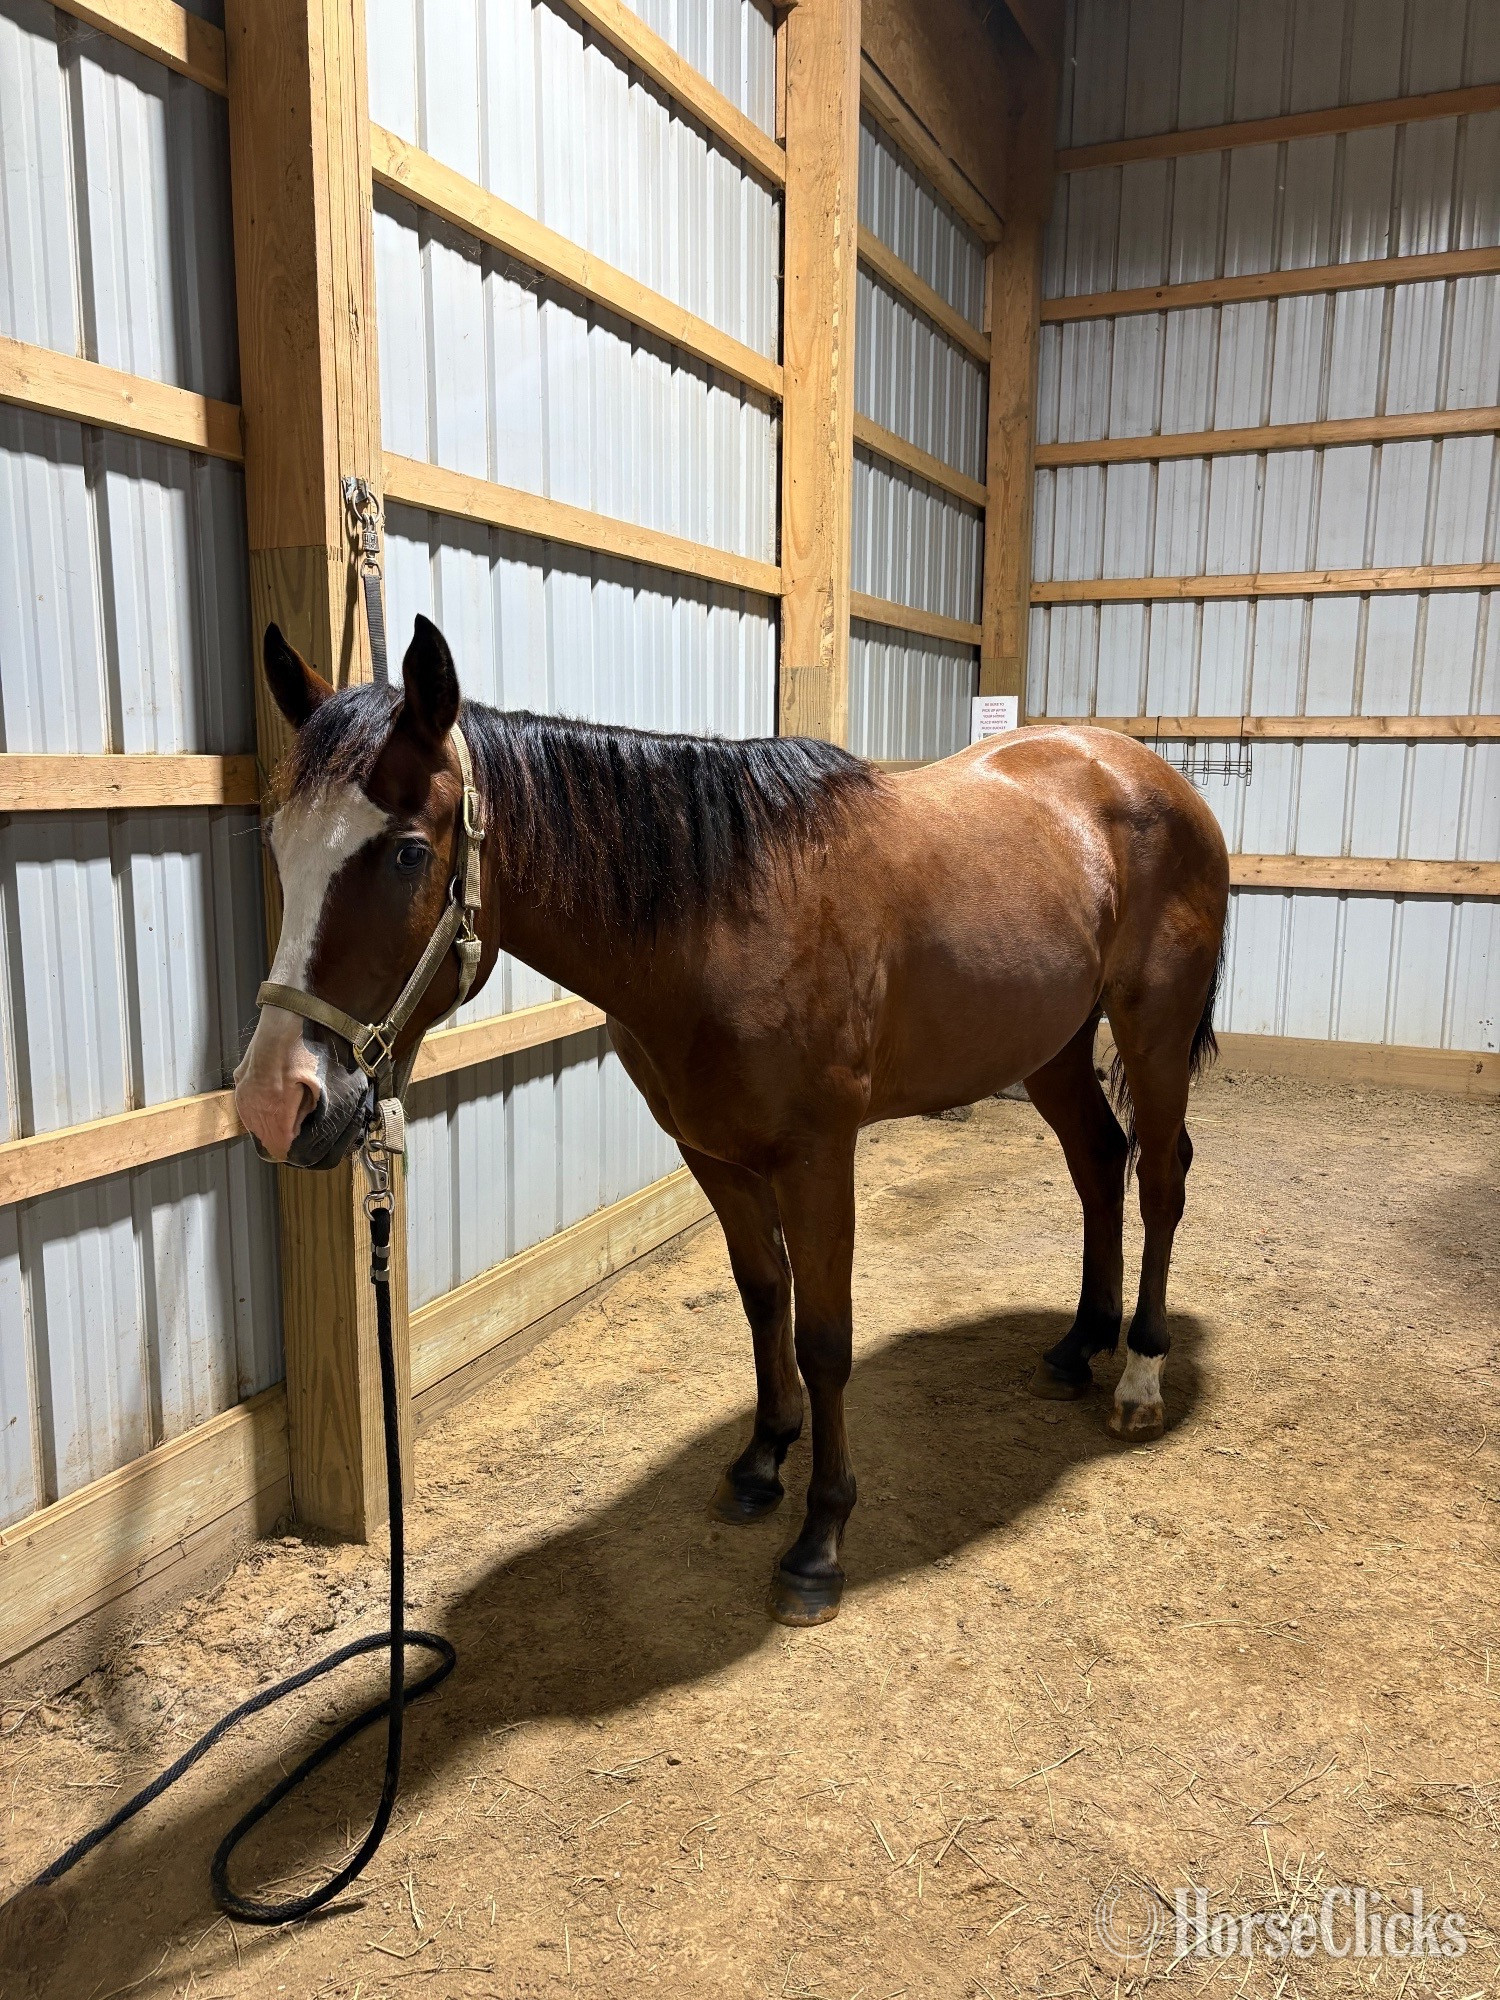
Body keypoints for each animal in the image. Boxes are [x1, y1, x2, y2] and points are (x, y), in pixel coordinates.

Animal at [234, 616, 1230, 1627]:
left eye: (404, 852)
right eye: (278, 845)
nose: (278, 1104)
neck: (722, 921)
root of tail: (1145, 773)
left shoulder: (818, 1158)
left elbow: (824, 1338)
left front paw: (820, 1541)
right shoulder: (712, 1153)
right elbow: (762, 1300)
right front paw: (761, 1463)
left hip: (1151, 1034)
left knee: (1160, 1179)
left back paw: (1140, 1374)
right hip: (1052, 1046)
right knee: (1099, 1163)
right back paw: (1077, 1347)